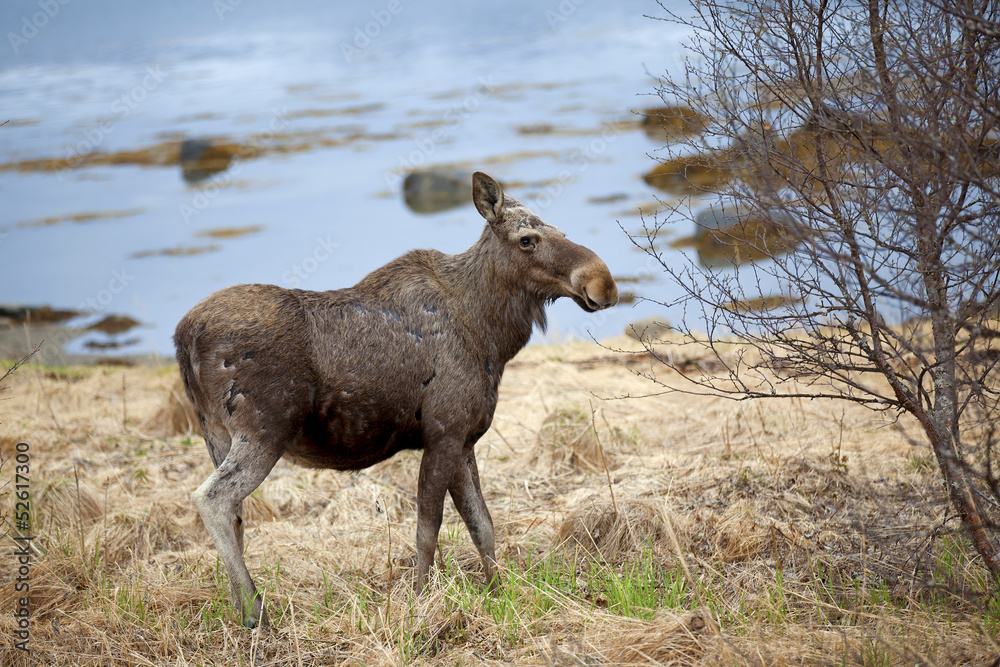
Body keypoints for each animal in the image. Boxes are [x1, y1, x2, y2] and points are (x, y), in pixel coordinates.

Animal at [174, 171, 618, 628]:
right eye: (527, 239)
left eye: (560, 231)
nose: (602, 282)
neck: (491, 335)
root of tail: (183, 337)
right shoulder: (443, 433)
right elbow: (428, 530)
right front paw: (421, 599)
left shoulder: (464, 440)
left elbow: (482, 524)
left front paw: (498, 592)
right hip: (264, 431)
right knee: (212, 499)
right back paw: (254, 610)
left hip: (216, 433)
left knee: (235, 514)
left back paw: (236, 606)